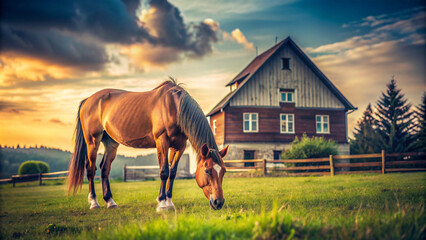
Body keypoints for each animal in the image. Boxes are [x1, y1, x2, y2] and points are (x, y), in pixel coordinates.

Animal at [67, 79, 230, 211]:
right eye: (207, 171)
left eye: (223, 171)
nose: (219, 202)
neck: (174, 106)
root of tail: (88, 100)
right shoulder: (162, 142)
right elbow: (164, 171)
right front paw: (162, 204)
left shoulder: (179, 146)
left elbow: (172, 172)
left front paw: (168, 201)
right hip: (92, 141)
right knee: (90, 169)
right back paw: (94, 203)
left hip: (111, 143)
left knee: (104, 169)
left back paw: (110, 202)